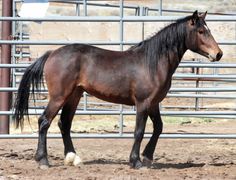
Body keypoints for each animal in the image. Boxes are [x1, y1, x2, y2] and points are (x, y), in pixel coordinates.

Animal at [14, 10, 221, 169]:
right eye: (201, 31)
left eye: (208, 30)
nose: (218, 54)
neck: (152, 63)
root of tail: (51, 54)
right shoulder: (143, 103)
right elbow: (139, 131)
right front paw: (136, 162)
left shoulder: (154, 104)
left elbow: (158, 128)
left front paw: (147, 158)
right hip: (59, 96)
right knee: (44, 121)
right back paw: (43, 161)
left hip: (74, 95)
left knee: (64, 123)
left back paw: (73, 158)